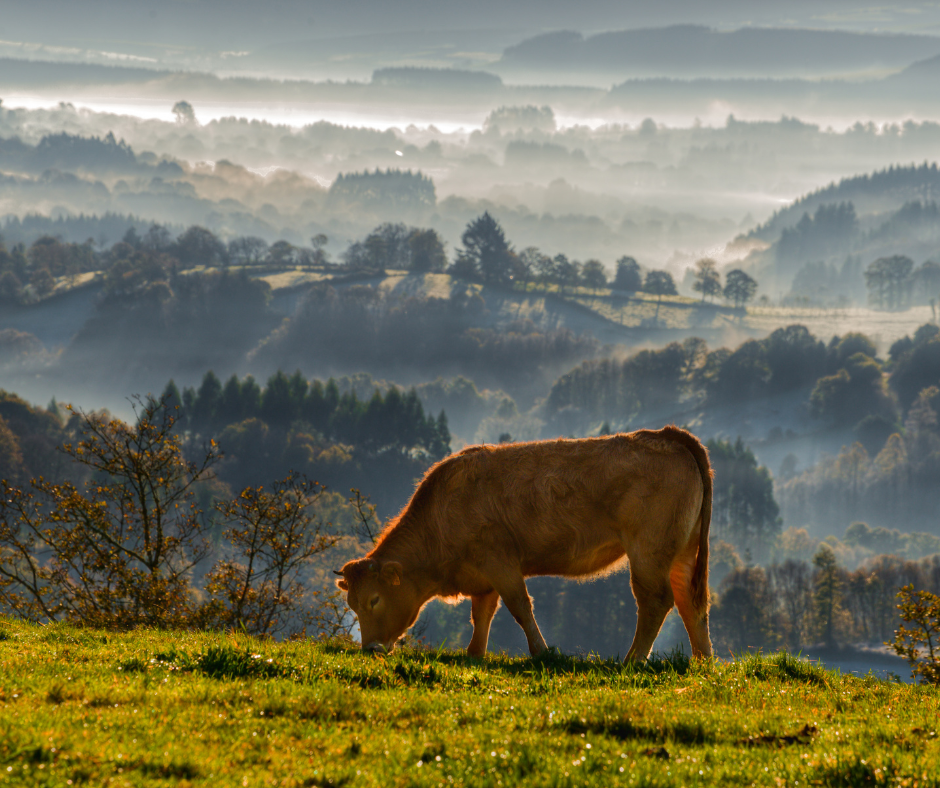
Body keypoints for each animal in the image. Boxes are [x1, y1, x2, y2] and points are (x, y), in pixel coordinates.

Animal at [338, 424, 712, 660]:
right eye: (352, 605)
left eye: (374, 600)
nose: (370, 649)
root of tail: (666, 435)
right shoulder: (482, 575)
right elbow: (482, 614)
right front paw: (474, 654)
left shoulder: (498, 560)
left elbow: (519, 606)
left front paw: (542, 652)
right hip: (683, 550)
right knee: (690, 601)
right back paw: (703, 662)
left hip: (649, 550)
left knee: (656, 601)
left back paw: (633, 660)